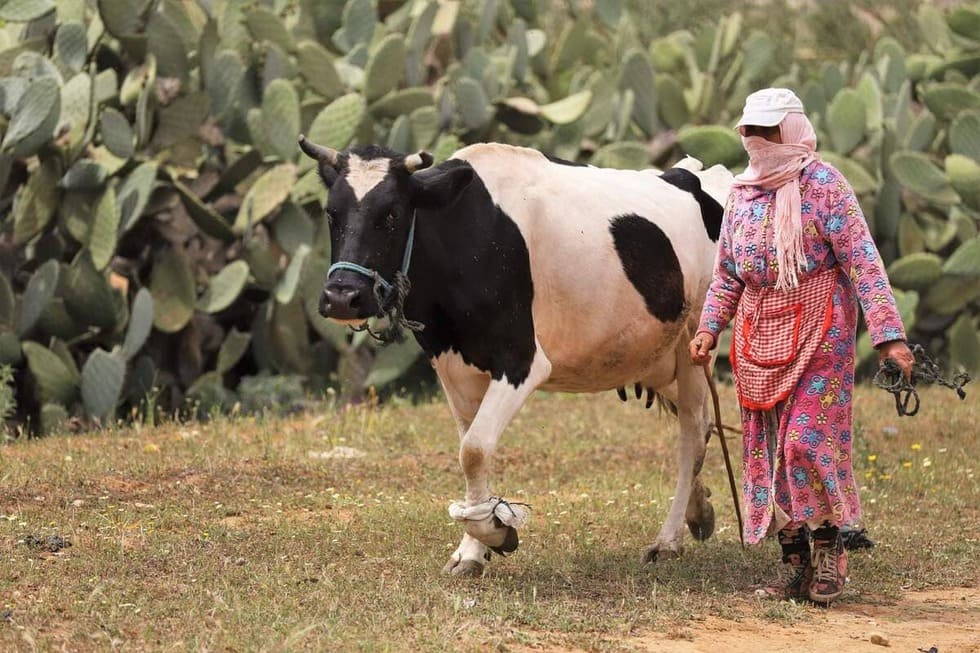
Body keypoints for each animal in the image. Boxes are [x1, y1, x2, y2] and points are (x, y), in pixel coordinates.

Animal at [302, 135, 732, 572]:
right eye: (331, 213)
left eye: (391, 214)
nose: (342, 297)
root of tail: (695, 172)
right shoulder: (453, 366)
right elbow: (471, 449)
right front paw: (472, 549)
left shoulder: (521, 360)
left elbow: (474, 450)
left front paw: (495, 531)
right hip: (657, 356)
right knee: (700, 424)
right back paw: (699, 510)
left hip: (695, 342)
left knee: (692, 429)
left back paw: (668, 539)